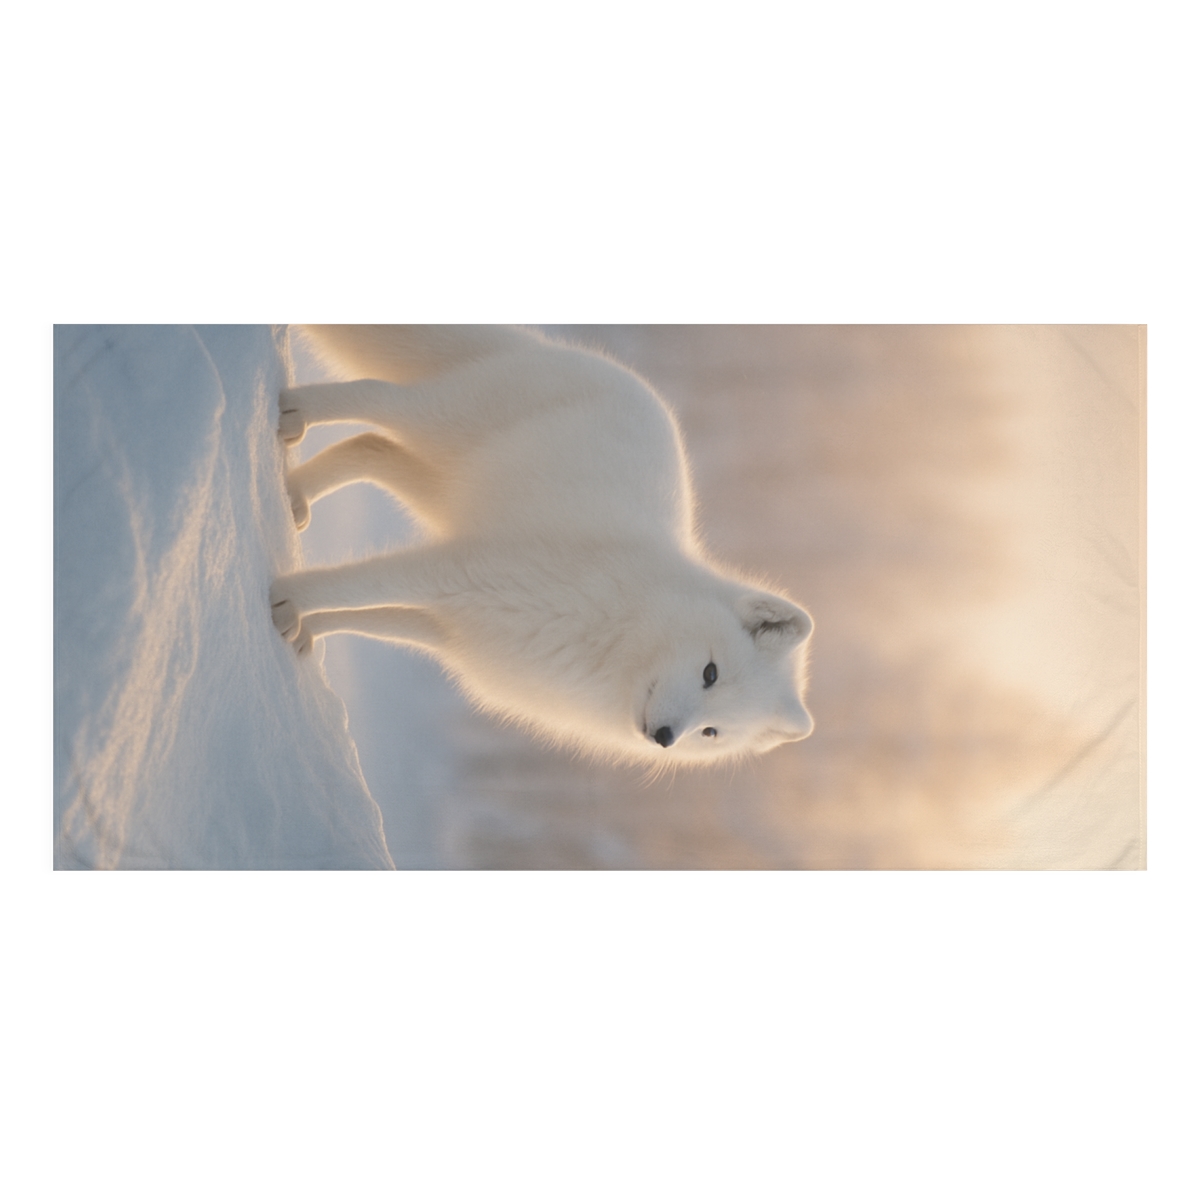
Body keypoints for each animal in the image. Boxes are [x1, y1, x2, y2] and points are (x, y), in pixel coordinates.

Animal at [270, 325, 814, 766]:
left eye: (712, 732)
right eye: (710, 672)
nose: (664, 737)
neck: (618, 634)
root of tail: (549, 347)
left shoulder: (457, 633)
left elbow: (372, 621)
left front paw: (304, 632)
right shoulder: (462, 570)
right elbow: (355, 584)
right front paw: (284, 601)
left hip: (440, 486)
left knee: (369, 447)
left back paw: (295, 495)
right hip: (443, 417)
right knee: (378, 399)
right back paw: (293, 414)